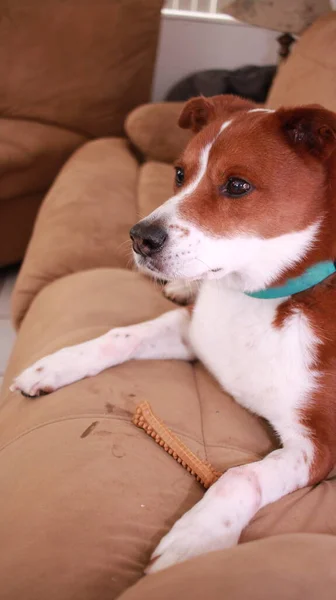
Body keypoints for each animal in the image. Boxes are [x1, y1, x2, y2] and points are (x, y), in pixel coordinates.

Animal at [9, 96, 336, 576]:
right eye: (180, 174)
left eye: (237, 185)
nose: (139, 238)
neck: (257, 297)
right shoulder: (194, 333)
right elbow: (120, 335)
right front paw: (57, 364)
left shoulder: (320, 445)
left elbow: (242, 476)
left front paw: (196, 537)